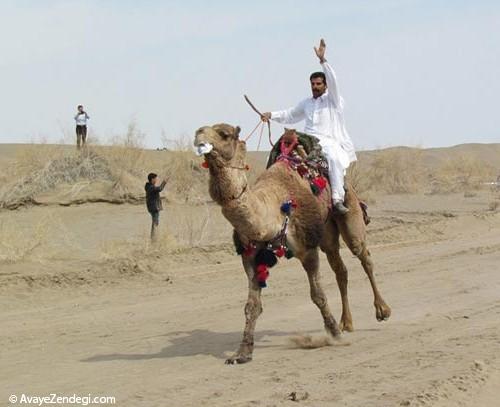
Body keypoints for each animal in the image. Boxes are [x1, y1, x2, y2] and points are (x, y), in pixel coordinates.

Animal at [193, 122, 392, 364]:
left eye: (225, 134)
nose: (198, 135)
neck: (272, 210)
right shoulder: (250, 255)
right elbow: (252, 306)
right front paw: (242, 353)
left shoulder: (306, 248)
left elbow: (317, 295)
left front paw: (334, 335)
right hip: (326, 233)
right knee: (340, 268)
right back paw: (347, 322)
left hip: (349, 211)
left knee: (364, 256)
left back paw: (382, 311)